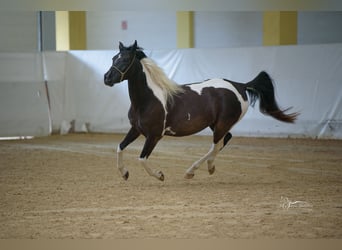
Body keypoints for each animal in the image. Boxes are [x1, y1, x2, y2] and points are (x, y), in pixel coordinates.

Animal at [104, 41, 300, 182]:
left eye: (125, 59)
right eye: (114, 58)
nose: (107, 78)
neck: (148, 99)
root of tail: (240, 86)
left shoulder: (154, 135)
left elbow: (142, 158)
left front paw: (160, 175)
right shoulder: (136, 129)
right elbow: (119, 147)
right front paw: (124, 173)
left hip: (222, 124)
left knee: (215, 145)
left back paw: (192, 171)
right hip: (216, 124)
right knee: (224, 141)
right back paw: (208, 168)